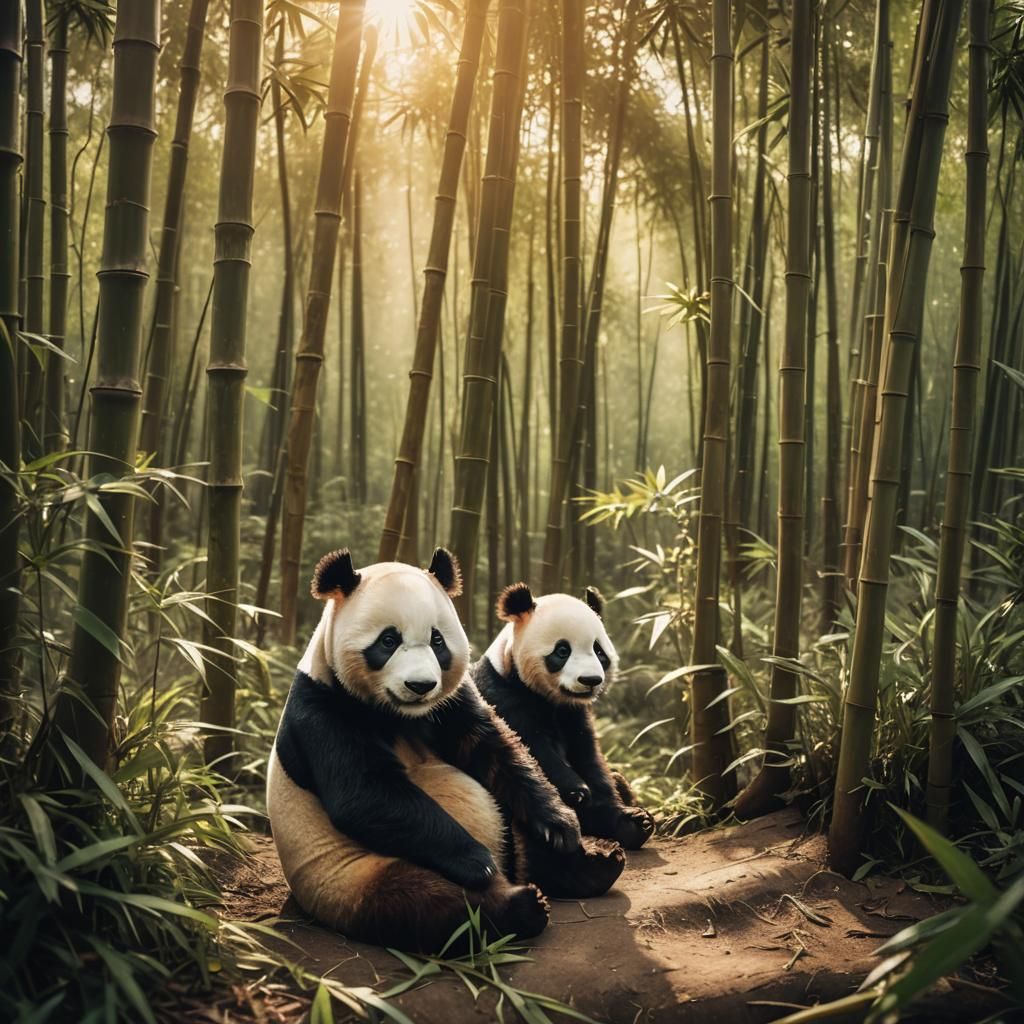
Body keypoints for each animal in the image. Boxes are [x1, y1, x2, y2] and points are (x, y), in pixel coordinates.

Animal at [266, 548, 624, 954]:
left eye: (438, 641)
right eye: (388, 641)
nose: (420, 685)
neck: (399, 715)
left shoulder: (454, 702)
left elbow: (498, 750)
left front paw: (561, 822)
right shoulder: (322, 709)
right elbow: (364, 793)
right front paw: (477, 860)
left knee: (520, 831)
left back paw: (591, 866)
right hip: (351, 872)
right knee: (422, 900)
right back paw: (520, 904)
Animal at [474, 583, 655, 851]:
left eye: (599, 651)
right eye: (562, 650)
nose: (590, 680)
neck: (550, 700)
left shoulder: (574, 715)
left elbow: (591, 760)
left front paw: (624, 819)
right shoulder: (500, 694)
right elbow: (528, 747)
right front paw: (576, 789)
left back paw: (636, 825)